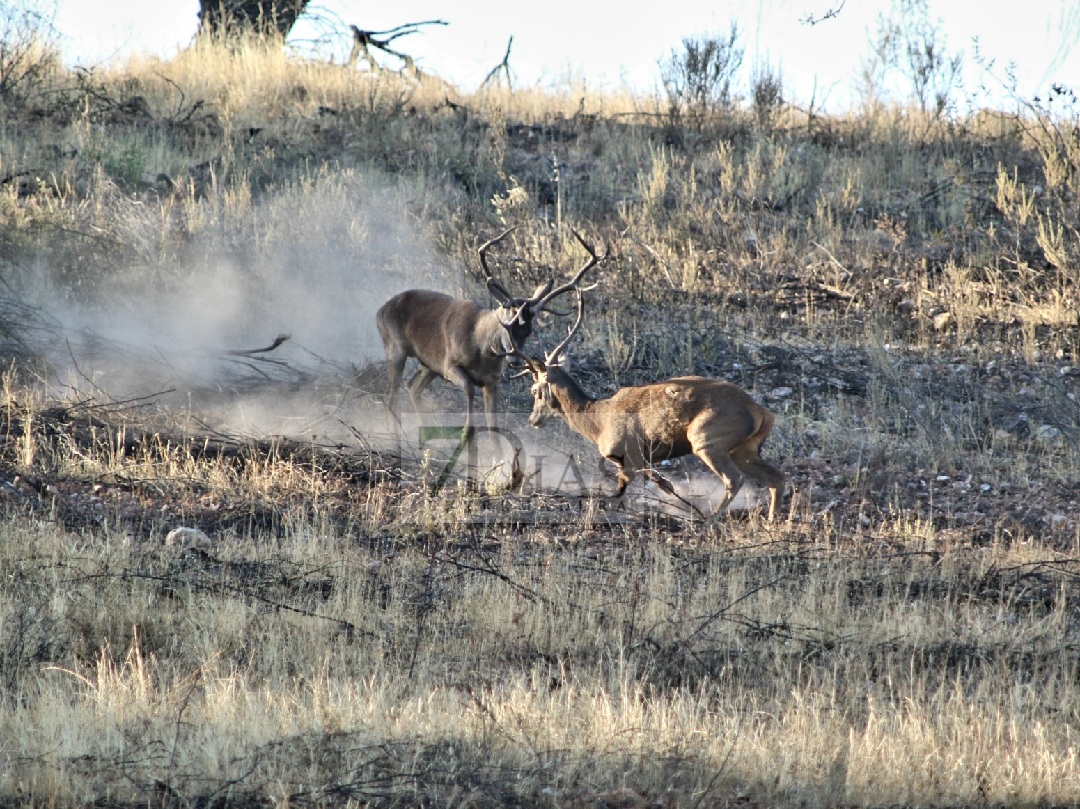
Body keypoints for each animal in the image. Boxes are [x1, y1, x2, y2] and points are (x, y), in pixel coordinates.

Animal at [375, 226, 604, 436]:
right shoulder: (450, 365)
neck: (480, 347)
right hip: (396, 348)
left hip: (429, 364)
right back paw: (394, 439)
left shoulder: (491, 381)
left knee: (412, 387)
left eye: (529, 330)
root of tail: (380, 310)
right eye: (507, 324)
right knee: (389, 396)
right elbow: (469, 397)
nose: (515, 361)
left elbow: (493, 427)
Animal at [505, 289, 786, 518]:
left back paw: (709, 519)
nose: (533, 419)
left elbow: (621, 491)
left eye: (534, 390)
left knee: (735, 479)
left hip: (707, 438)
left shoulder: (626, 454)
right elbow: (665, 484)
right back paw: (772, 520)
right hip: (745, 448)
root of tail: (760, 413)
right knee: (777, 477)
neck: (597, 422)